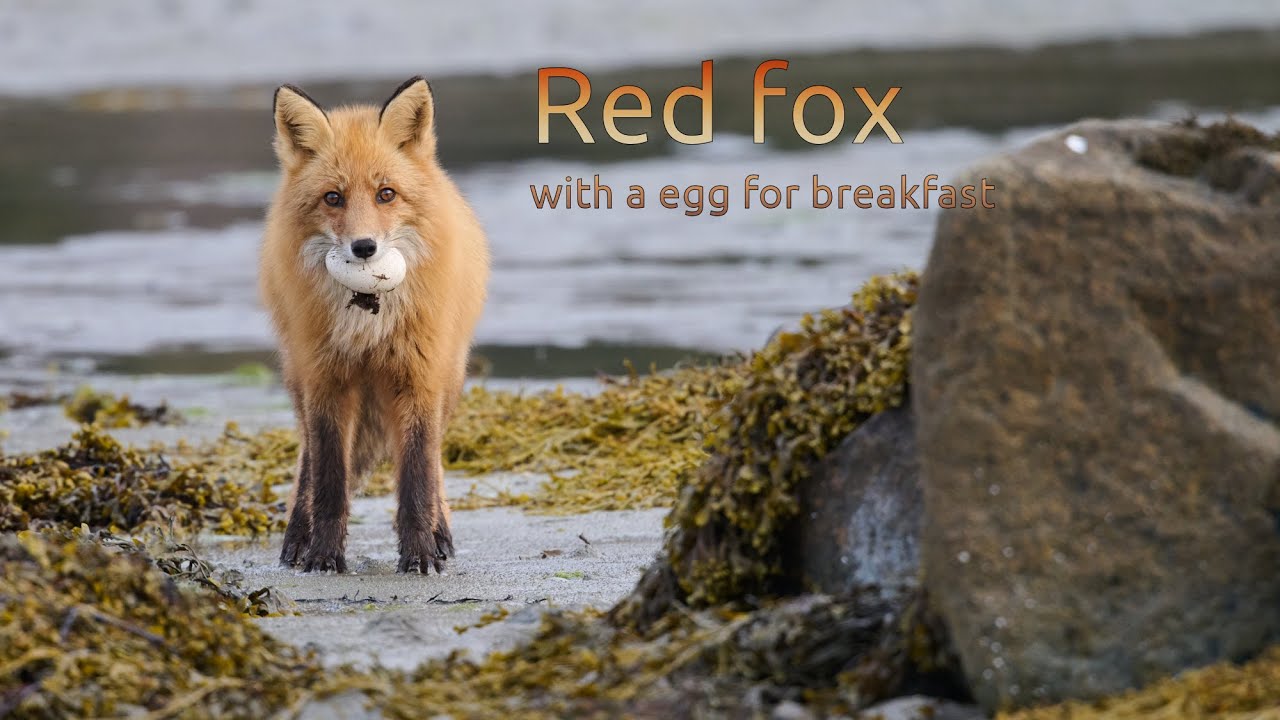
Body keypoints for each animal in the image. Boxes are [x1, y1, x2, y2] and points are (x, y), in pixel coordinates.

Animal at [259, 77, 489, 574]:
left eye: (386, 194)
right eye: (333, 198)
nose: (364, 247)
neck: (368, 321)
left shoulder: (418, 377)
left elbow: (418, 479)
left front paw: (420, 554)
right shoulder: (326, 380)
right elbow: (328, 482)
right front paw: (324, 556)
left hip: (449, 378)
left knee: (436, 464)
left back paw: (441, 535)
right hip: (298, 378)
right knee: (306, 462)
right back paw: (297, 538)